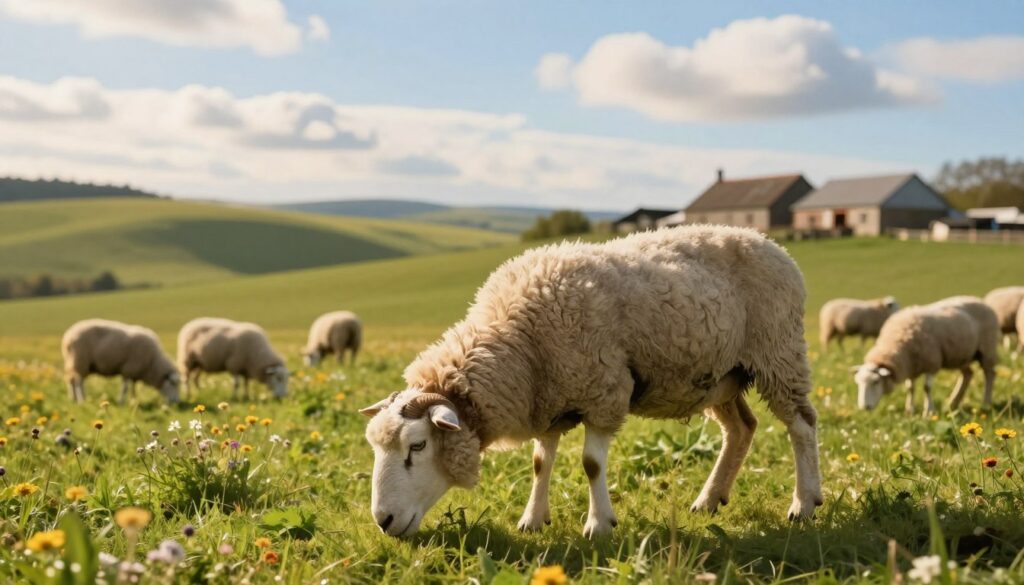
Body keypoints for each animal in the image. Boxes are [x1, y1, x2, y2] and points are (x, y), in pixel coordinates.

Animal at [360, 225, 822, 538]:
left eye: (418, 446)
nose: (383, 521)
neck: (520, 343)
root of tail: (770, 243)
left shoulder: (603, 390)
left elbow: (591, 464)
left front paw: (599, 524)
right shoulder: (548, 399)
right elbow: (540, 462)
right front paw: (533, 519)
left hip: (778, 351)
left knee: (802, 425)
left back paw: (805, 502)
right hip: (722, 375)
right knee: (741, 429)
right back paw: (709, 500)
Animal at [853, 296, 999, 415]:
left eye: (876, 382)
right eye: (858, 383)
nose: (864, 407)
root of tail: (980, 301)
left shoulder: (931, 363)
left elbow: (926, 388)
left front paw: (928, 411)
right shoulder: (911, 366)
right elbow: (910, 388)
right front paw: (909, 410)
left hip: (987, 349)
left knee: (990, 374)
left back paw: (986, 403)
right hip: (961, 355)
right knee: (968, 374)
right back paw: (953, 403)